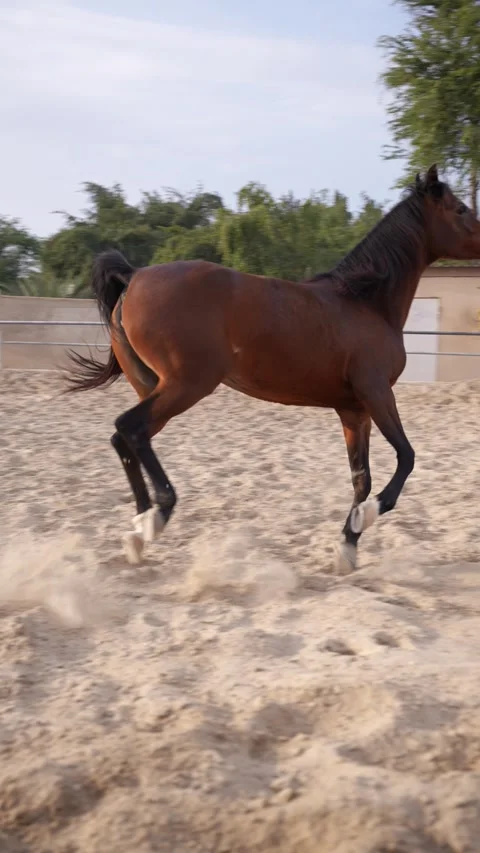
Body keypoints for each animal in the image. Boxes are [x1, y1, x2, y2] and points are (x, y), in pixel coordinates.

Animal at [65, 165, 480, 570]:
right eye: (461, 209)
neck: (366, 302)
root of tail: (134, 276)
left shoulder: (353, 409)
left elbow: (361, 478)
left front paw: (347, 547)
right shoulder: (377, 393)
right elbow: (405, 458)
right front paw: (368, 516)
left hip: (155, 385)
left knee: (125, 437)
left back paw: (137, 532)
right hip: (187, 384)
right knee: (130, 429)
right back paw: (156, 517)